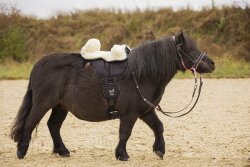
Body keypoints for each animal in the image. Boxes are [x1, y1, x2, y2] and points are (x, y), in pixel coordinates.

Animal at [10, 31, 215, 160]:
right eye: (189, 49)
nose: (212, 63)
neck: (140, 74)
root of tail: (38, 65)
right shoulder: (130, 114)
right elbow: (125, 133)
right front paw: (122, 154)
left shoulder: (146, 111)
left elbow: (158, 127)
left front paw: (159, 150)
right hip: (43, 103)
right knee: (30, 123)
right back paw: (21, 152)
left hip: (60, 106)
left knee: (53, 126)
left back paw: (63, 151)